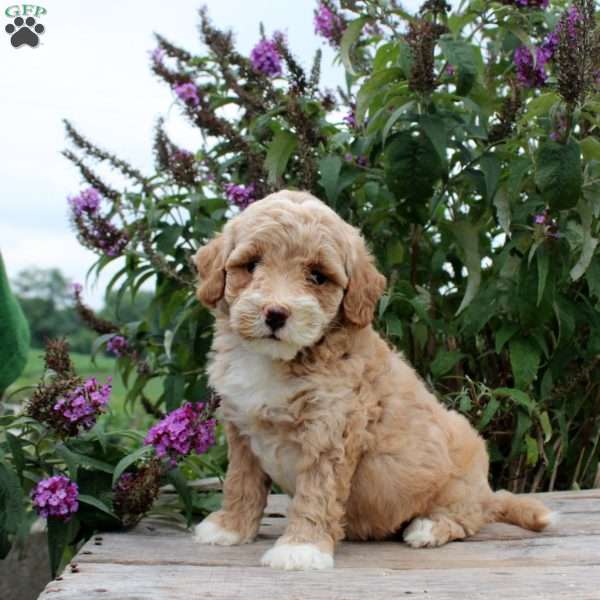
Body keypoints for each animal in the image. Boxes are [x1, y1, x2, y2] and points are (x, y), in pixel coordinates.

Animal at [193, 190, 552, 568]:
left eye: (317, 276)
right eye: (251, 265)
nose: (276, 314)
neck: (277, 359)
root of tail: (487, 493)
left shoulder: (329, 431)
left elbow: (316, 492)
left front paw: (301, 548)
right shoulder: (241, 429)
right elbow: (240, 482)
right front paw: (230, 528)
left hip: (462, 475)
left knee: (467, 517)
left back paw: (428, 528)